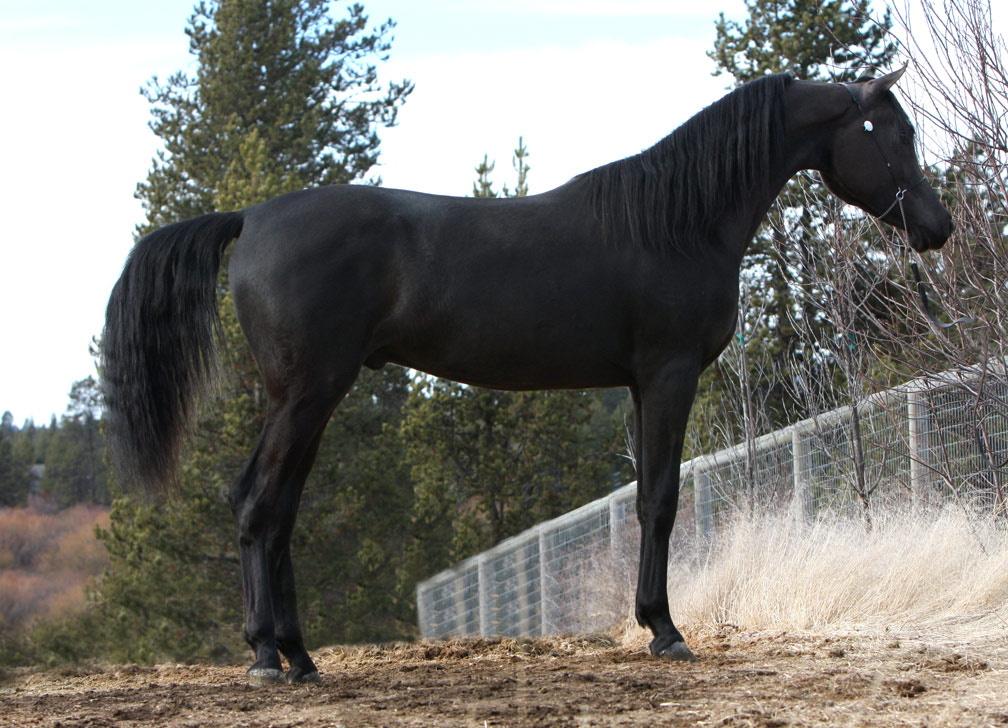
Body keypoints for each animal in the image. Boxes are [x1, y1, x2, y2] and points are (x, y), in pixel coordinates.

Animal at [101, 67, 953, 684]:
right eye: (896, 133)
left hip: (309, 399)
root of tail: (251, 218)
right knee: (258, 506)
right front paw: (664, 631)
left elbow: (649, 497)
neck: (676, 221)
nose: (938, 227)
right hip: (306, 392)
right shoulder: (668, 374)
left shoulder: (641, 384)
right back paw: (266, 659)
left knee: (277, 512)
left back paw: (301, 657)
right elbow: (660, 501)